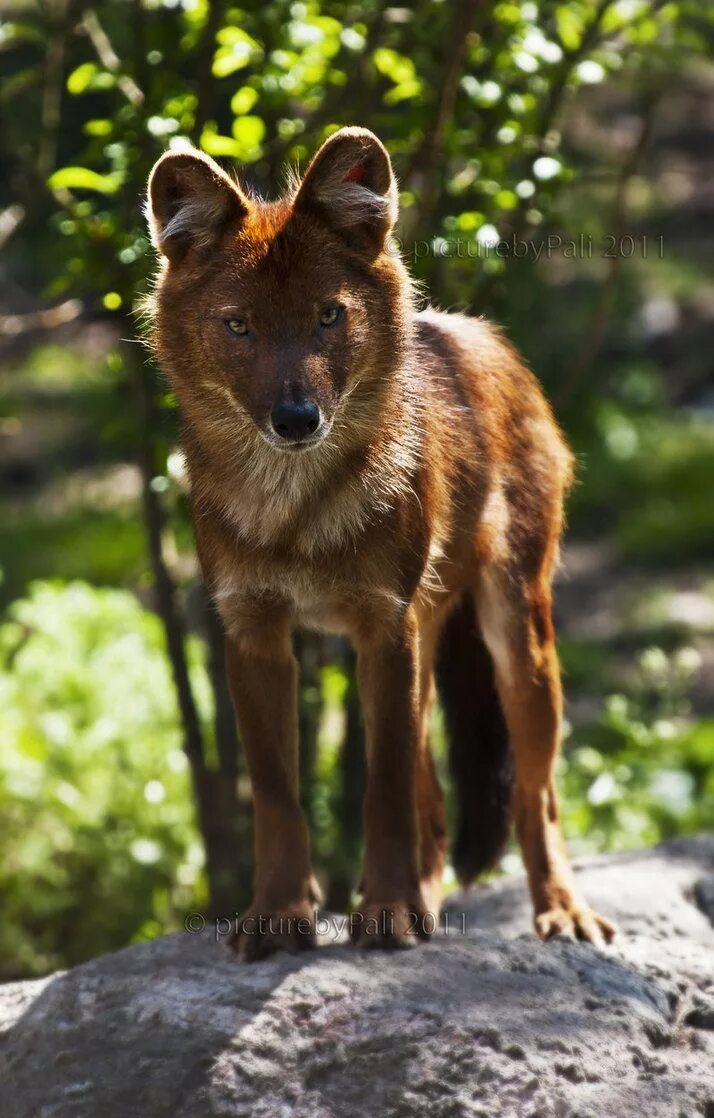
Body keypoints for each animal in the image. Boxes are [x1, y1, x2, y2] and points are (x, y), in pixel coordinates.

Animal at [145, 126, 616, 957]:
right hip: (427, 643)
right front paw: (279, 915)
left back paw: (559, 909)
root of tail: (480, 334)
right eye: (239, 326)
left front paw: (389, 911)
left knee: (537, 793)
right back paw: (428, 894)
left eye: (329, 317)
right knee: (438, 804)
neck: (296, 512)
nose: (296, 418)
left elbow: (386, 788)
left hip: (513, 635)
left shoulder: (382, 624)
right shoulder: (253, 632)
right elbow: (278, 794)